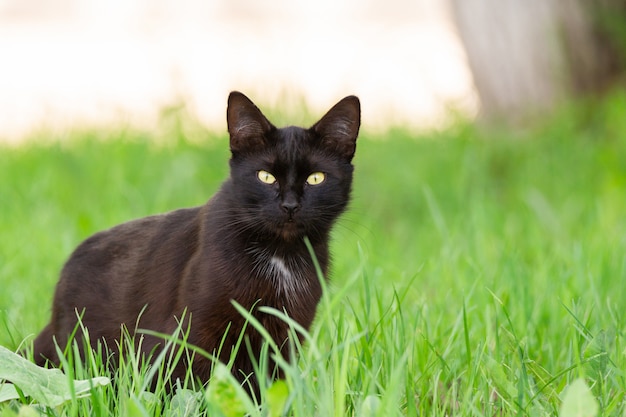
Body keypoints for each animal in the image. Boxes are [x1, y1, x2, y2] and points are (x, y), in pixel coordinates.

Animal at [31, 90, 358, 390]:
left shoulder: (282, 338)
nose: (290, 205)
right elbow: (180, 384)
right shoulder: (187, 332)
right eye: (265, 176)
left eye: (316, 178)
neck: (280, 254)